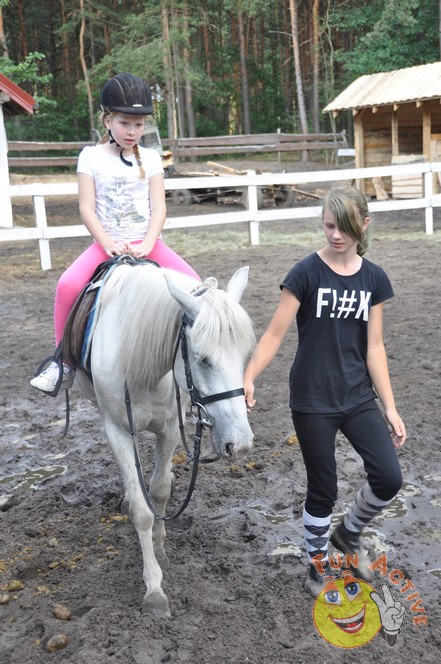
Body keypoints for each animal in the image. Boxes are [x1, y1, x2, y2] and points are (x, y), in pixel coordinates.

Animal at [73, 260, 256, 618]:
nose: (239, 445)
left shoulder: (170, 428)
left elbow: (158, 491)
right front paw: (154, 588)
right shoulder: (118, 430)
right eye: (202, 359)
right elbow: (142, 510)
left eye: (244, 356)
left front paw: (159, 548)